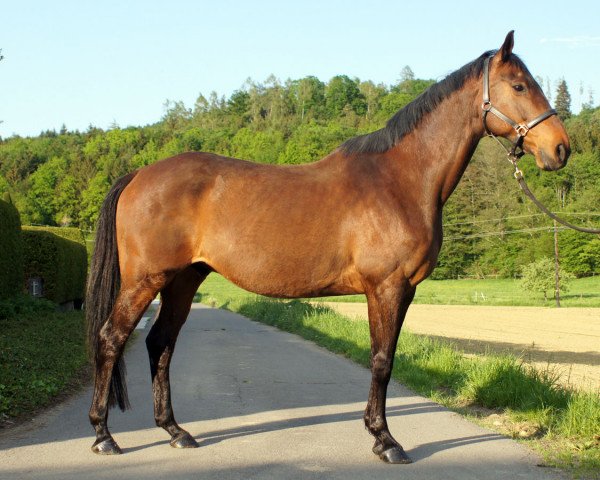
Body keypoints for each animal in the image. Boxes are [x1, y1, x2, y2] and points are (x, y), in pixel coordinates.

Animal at [86, 31, 568, 464]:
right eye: (519, 86)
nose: (561, 148)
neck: (401, 180)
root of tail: (139, 175)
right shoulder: (386, 287)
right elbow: (381, 361)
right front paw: (386, 441)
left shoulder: (405, 290)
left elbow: (387, 358)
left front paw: (379, 434)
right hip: (145, 281)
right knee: (112, 339)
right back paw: (104, 436)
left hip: (183, 281)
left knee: (160, 344)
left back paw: (175, 431)